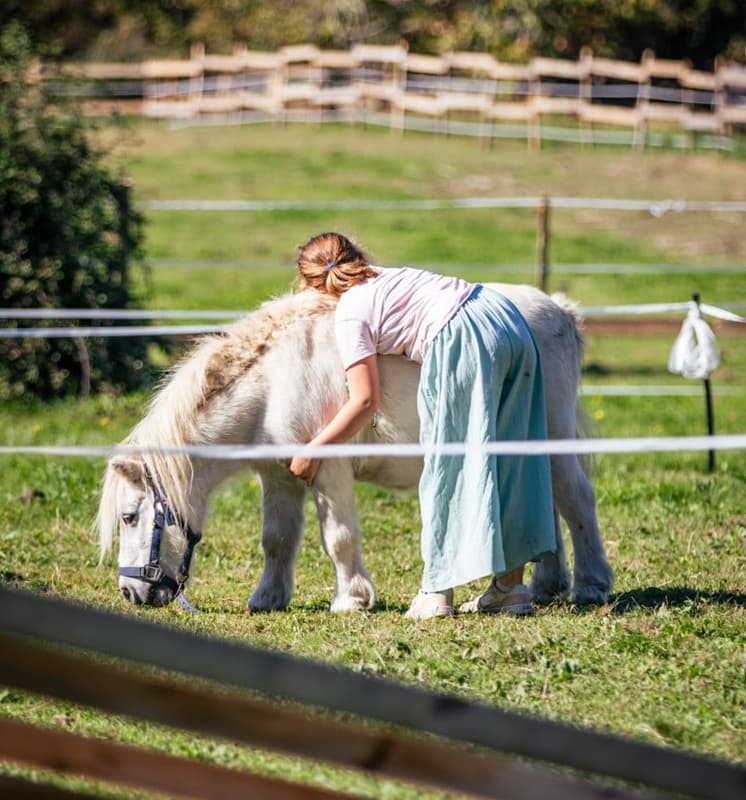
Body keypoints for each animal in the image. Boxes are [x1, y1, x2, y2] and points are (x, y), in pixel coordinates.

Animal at [98, 284, 613, 612]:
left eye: (129, 517)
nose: (130, 593)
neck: (271, 382)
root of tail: (560, 310)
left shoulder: (327, 471)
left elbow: (339, 537)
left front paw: (351, 599)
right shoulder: (279, 477)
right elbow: (277, 540)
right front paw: (268, 599)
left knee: (575, 500)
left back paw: (590, 586)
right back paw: (545, 586)